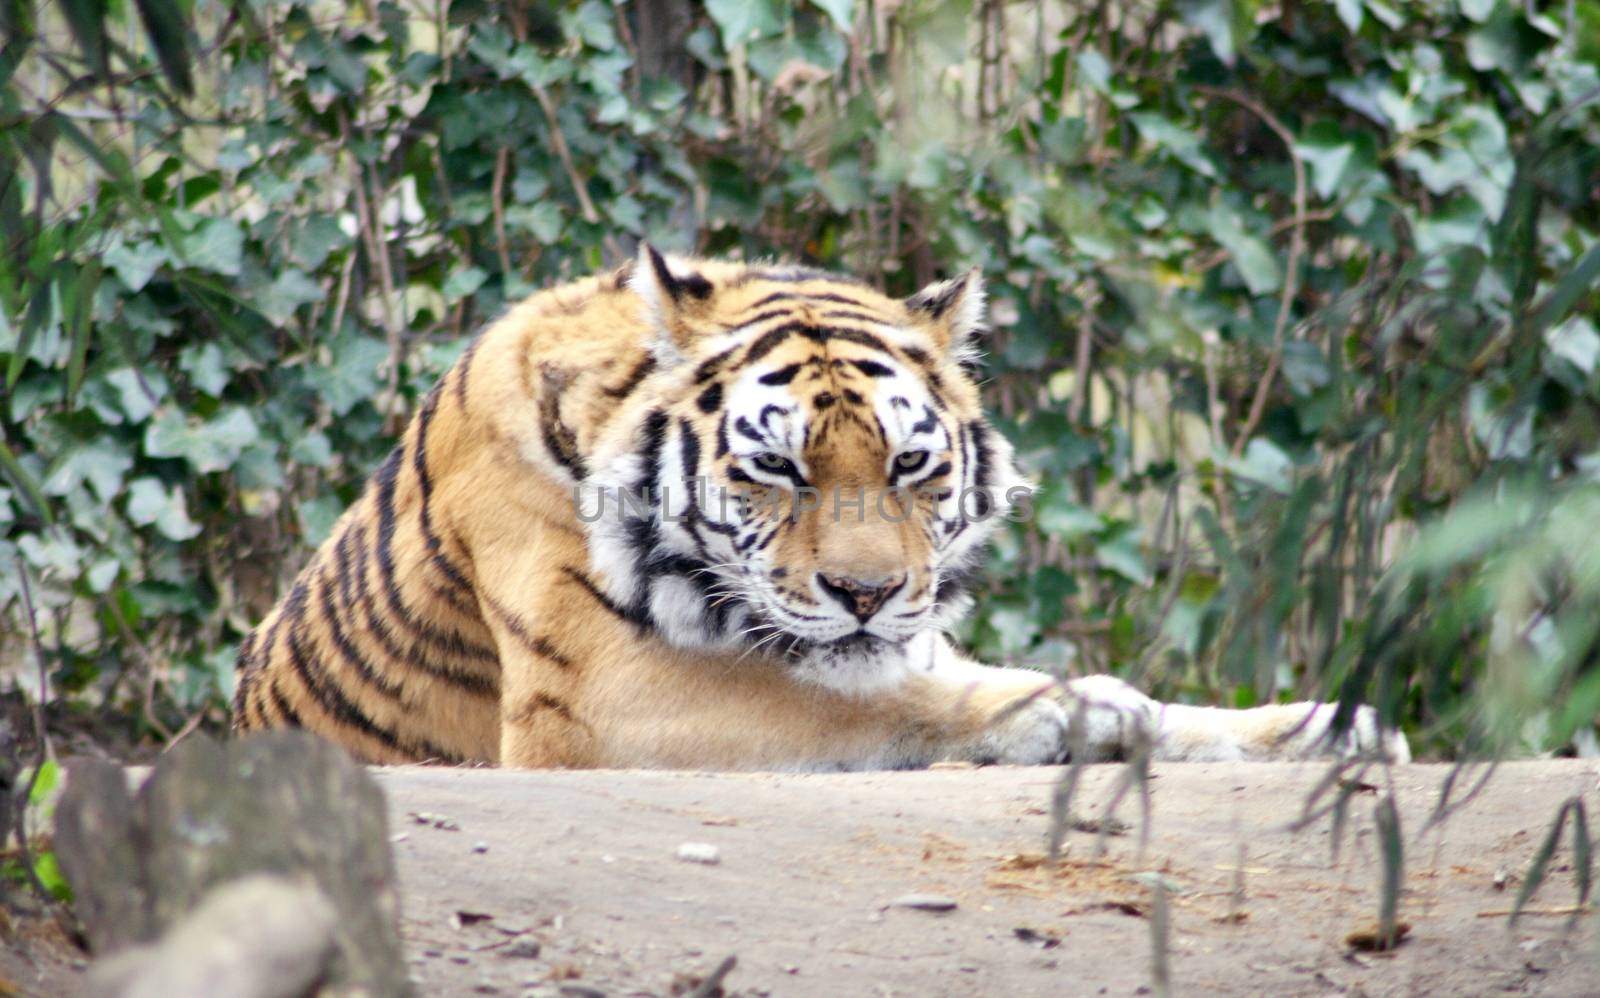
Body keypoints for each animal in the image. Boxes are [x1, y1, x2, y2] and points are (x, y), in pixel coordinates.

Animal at [232, 247, 1408, 770]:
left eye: (912, 464)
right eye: (778, 469)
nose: (867, 593)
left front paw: (1326, 725)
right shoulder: (603, 703)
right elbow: (870, 703)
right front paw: (1077, 712)